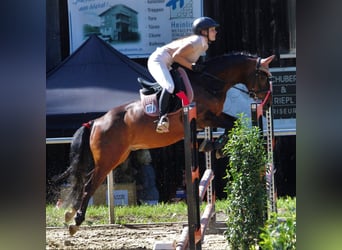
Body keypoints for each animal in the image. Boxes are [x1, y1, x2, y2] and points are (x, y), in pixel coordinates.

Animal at [56, 52, 276, 234]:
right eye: (263, 76)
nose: (269, 101)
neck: (209, 83)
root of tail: (95, 122)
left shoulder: (211, 117)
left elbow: (232, 121)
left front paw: (215, 145)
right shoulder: (204, 117)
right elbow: (231, 123)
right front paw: (216, 145)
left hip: (116, 157)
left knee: (87, 182)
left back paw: (71, 213)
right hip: (108, 159)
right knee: (89, 186)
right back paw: (76, 221)